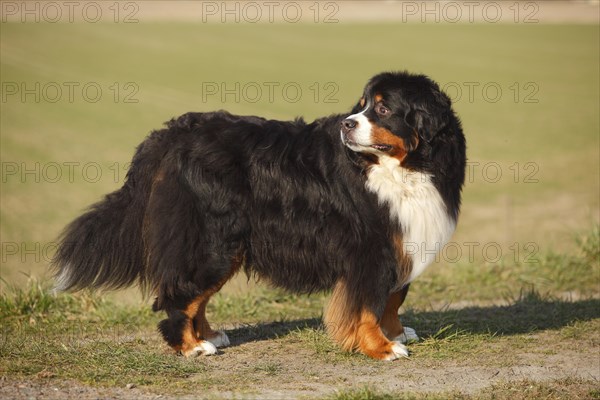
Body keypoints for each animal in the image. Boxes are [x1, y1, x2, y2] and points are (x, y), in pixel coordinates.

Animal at [52, 70, 464, 360]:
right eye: (361, 106)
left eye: (382, 108)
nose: (347, 124)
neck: (406, 168)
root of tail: (168, 135)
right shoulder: (370, 248)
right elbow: (368, 305)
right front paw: (381, 347)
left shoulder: (403, 239)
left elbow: (394, 296)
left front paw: (396, 332)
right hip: (212, 242)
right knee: (181, 294)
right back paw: (190, 346)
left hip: (225, 245)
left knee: (198, 296)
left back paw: (209, 335)